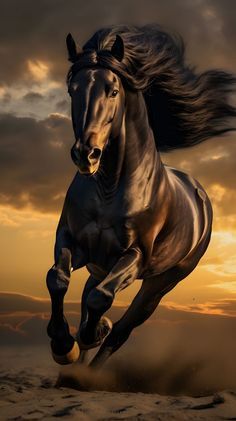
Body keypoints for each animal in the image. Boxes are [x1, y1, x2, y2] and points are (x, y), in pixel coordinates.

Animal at [45, 25, 234, 368]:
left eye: (113, 91)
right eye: (72, 90)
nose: (86, 155)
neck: (110, 187)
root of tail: (200, 194)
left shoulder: (135, 256)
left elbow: (101, 299)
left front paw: (88, 335)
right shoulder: (71, 240)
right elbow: (58, 279)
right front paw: (63, 345)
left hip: (159, 284)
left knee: (121, 328)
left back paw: (92, 358)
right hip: (101, 266)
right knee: (89, 295)